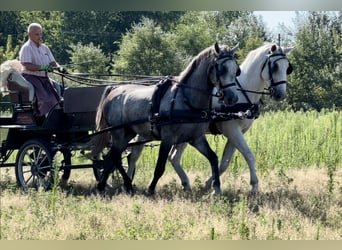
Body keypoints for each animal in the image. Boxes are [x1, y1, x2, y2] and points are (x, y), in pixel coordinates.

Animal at [127, 43, 292, 194]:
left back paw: (185, 184)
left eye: (288, 68)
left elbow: (225, 162)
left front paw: (209, 184)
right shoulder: (232, 130)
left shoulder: (236, 133)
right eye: (275, 66)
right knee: (138, 156)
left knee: (165, 156)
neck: (242, 92)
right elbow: (249, 155)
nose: (281, 95)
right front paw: (254, 186)